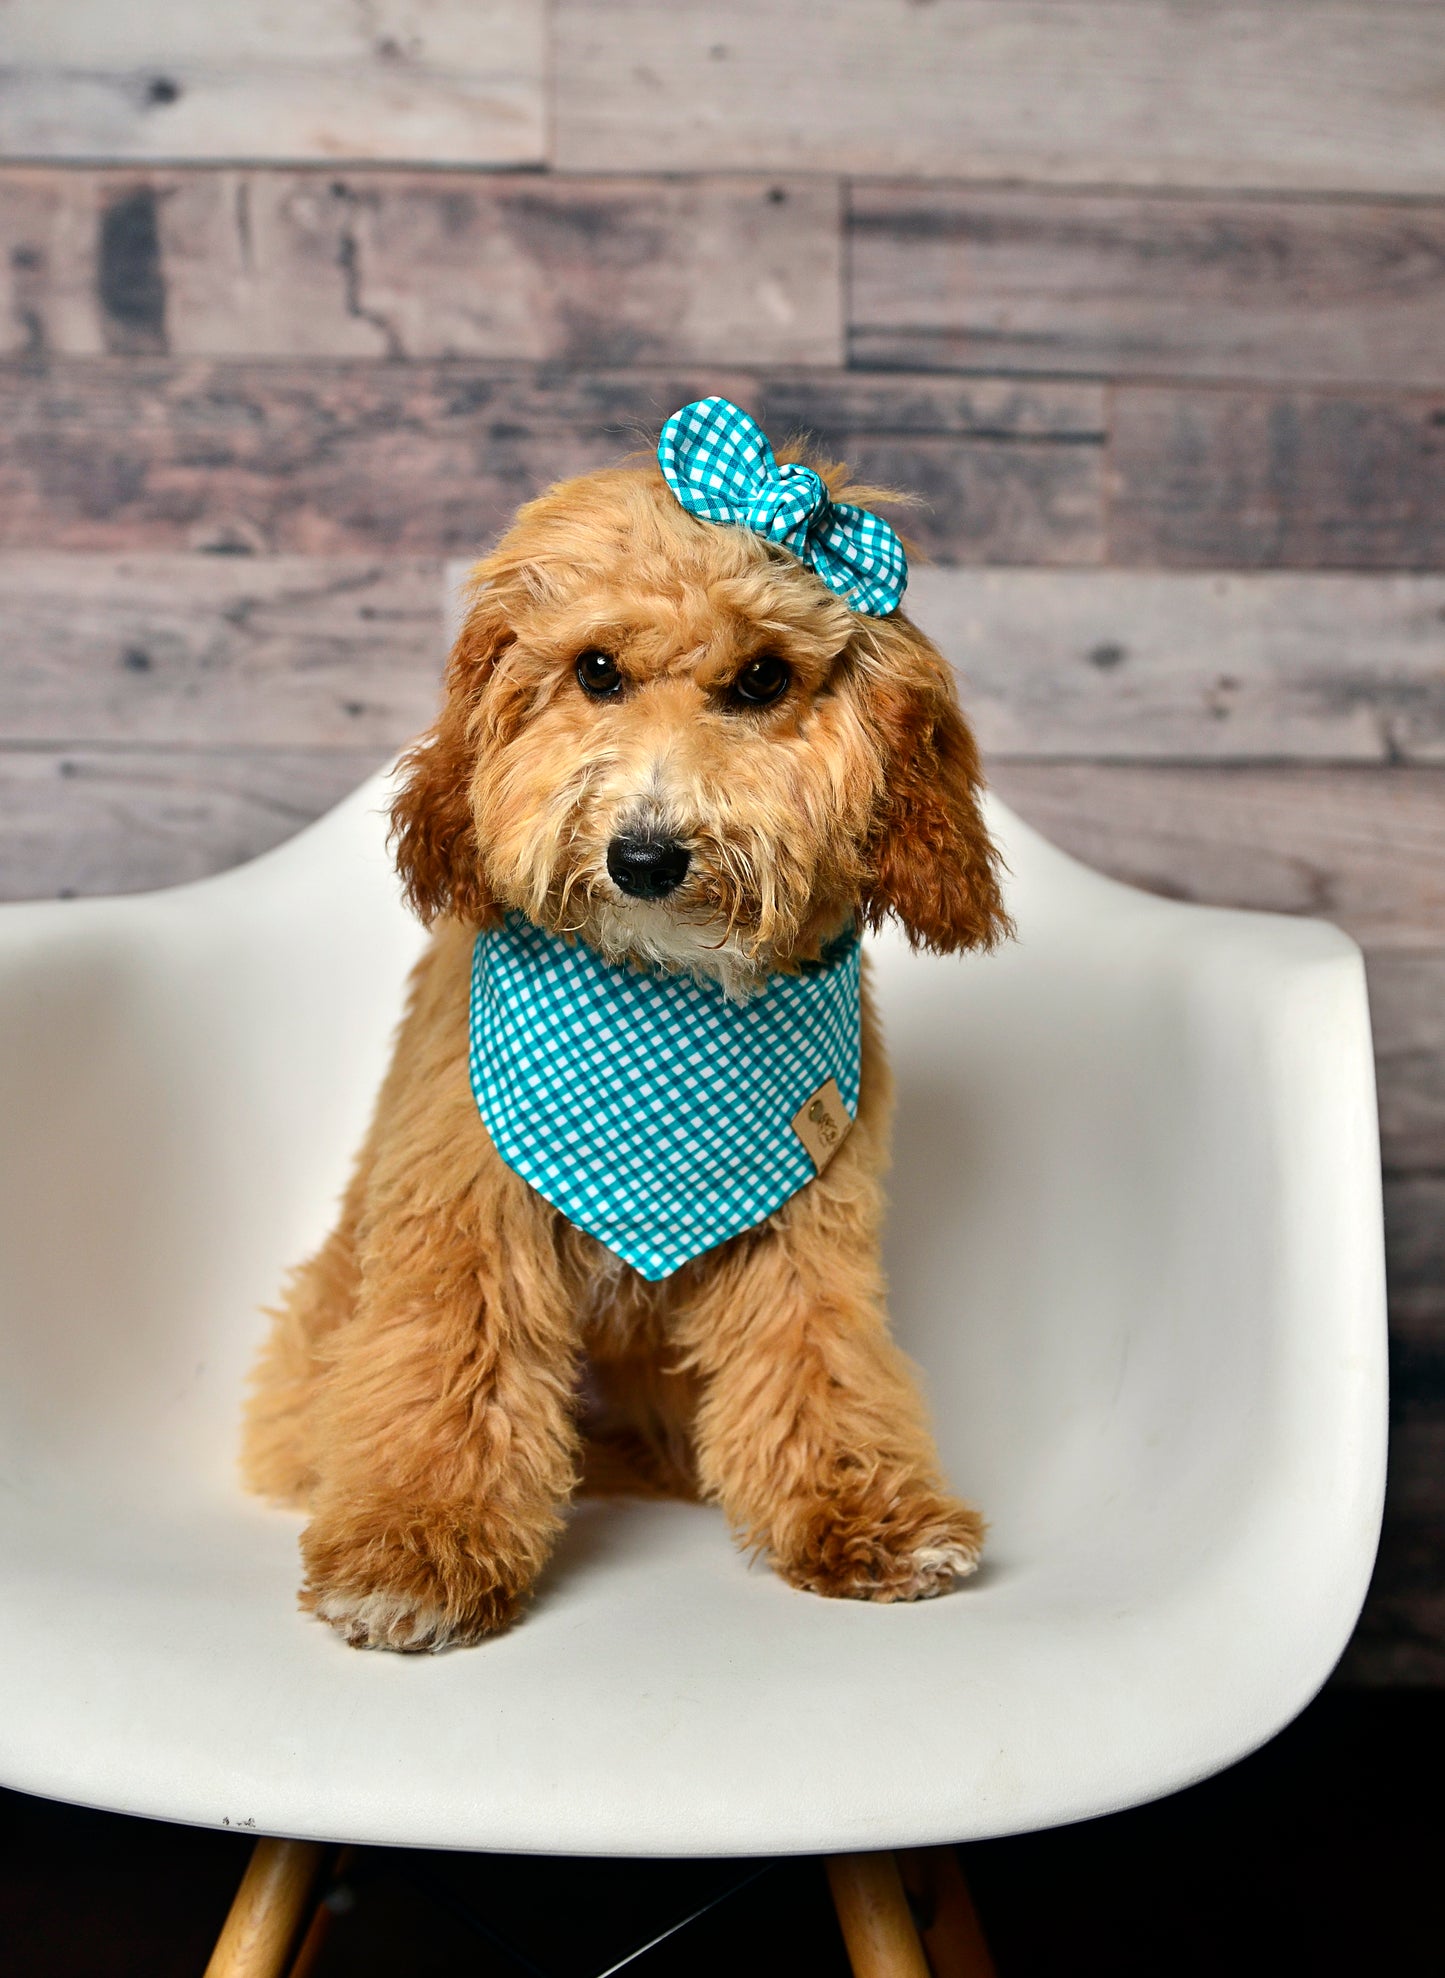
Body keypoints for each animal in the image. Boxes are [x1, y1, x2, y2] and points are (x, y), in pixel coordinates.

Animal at [240, 393, 1004, 1645]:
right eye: (595, 669)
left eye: (761, 679)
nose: (645, 856)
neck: (660, 998)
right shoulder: (467, 1213)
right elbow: (445, 1368)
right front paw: (415, 1550)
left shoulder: (806, 1229)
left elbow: (819, 1364)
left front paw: (863, 1519)